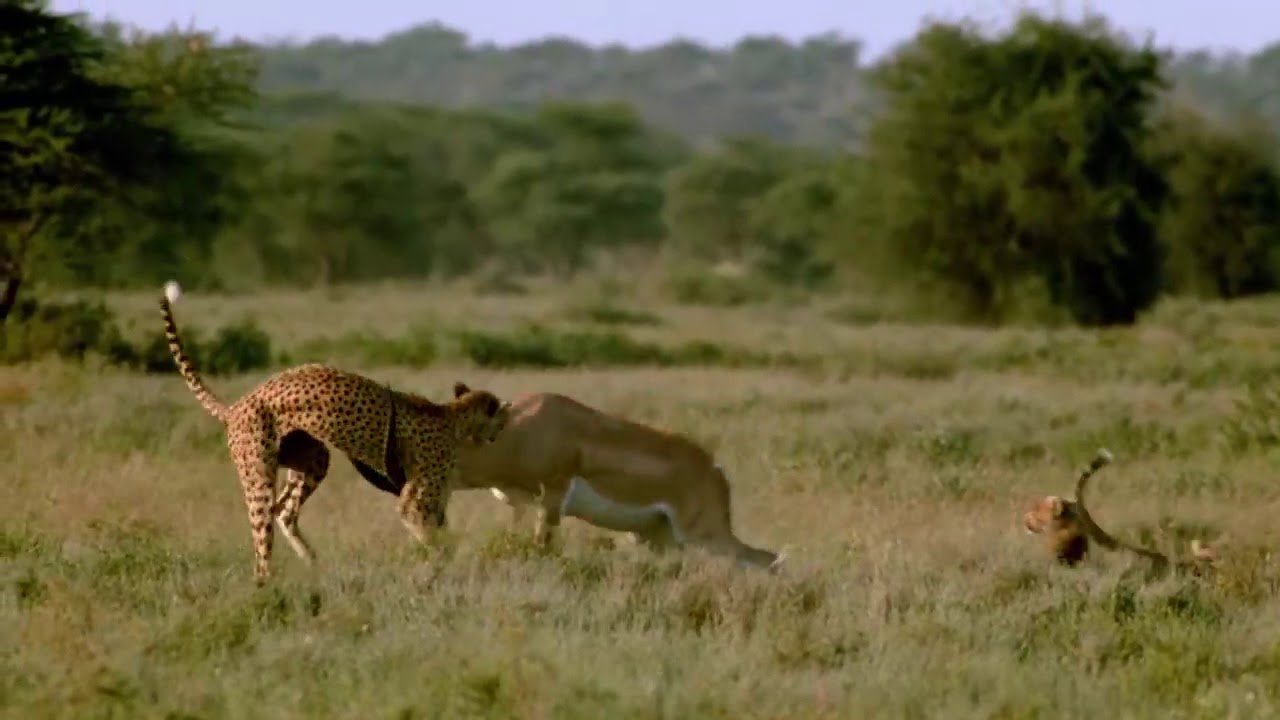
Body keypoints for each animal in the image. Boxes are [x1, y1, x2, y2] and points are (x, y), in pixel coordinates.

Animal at [162, 278, 512, 579]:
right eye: (500, 416)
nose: (501, 430)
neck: (454, 415)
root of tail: (237, 406)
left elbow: (440, 528)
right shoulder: (416, 497)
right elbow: (432, 533)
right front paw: (450, 563)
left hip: (312, 456)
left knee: (283, 510)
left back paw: (310, 560)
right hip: (258, 474)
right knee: (263, 540)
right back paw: (269, 587)